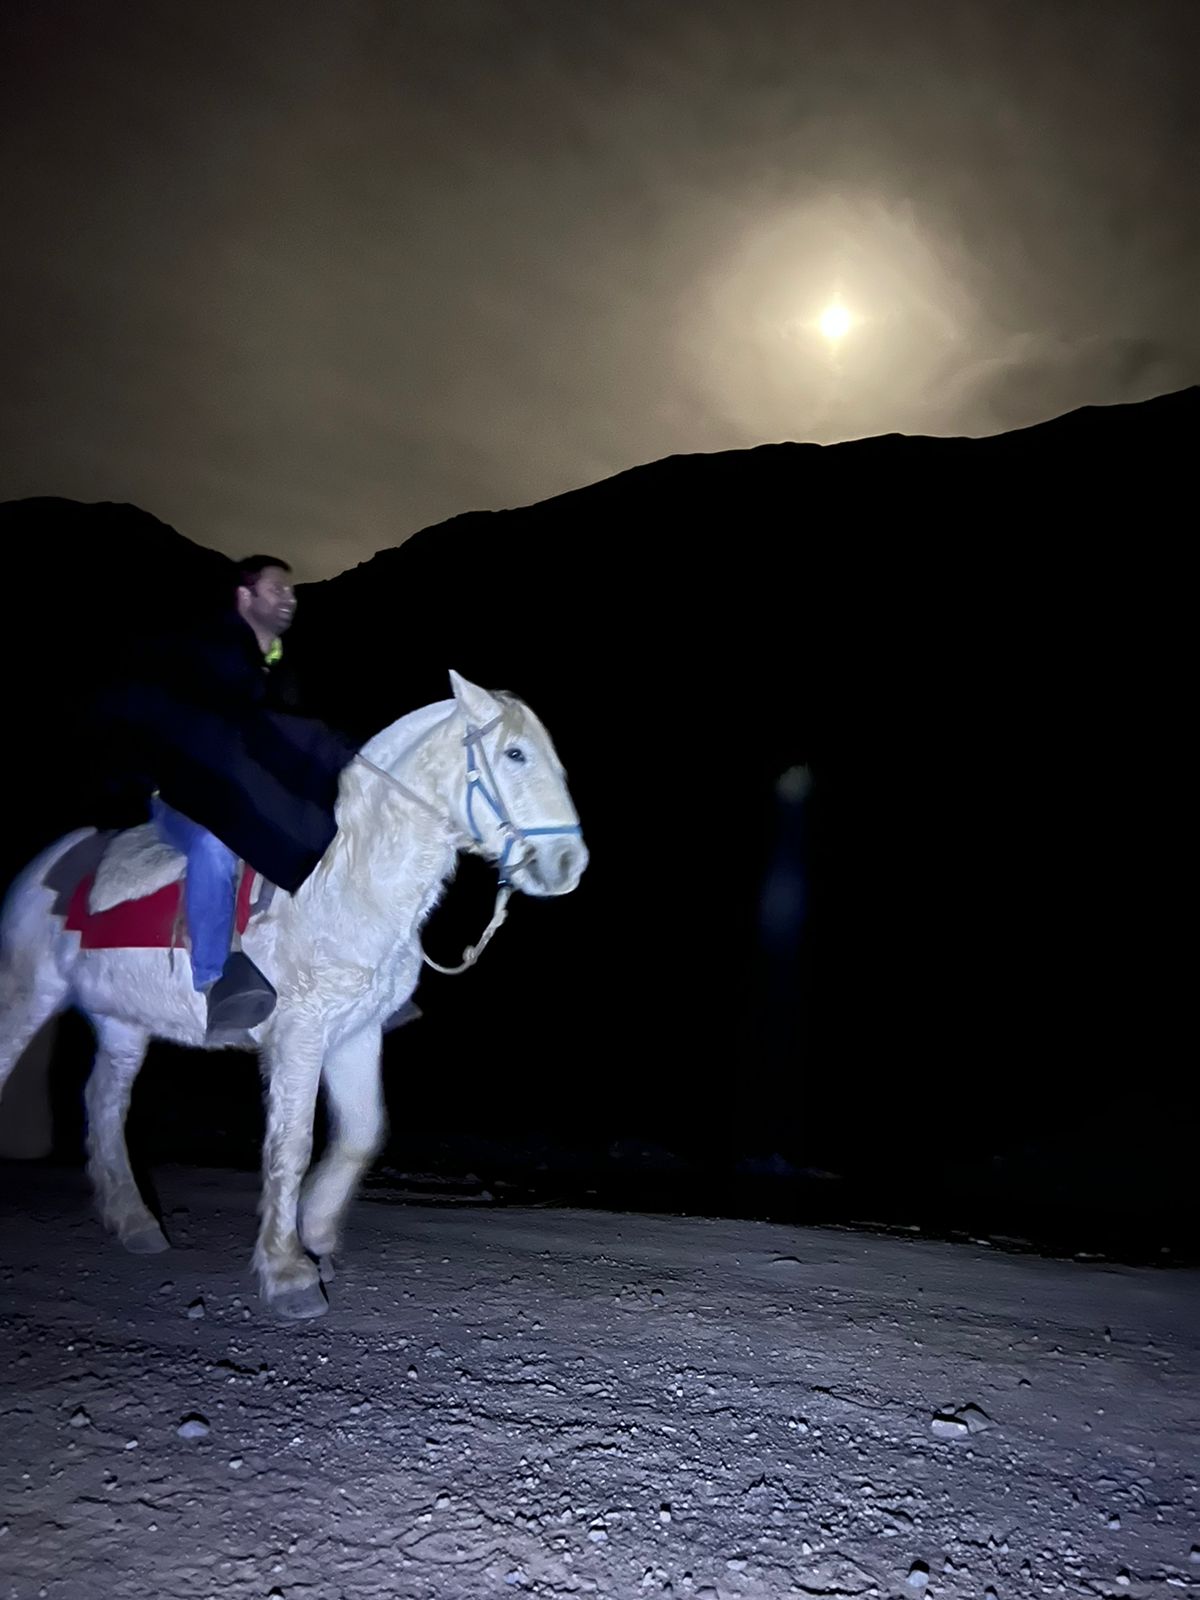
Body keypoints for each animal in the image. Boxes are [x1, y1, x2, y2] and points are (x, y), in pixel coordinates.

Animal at [0, 668, 588, 1318]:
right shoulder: (300, 1035)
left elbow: (360, 1134)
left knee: (105, 1102)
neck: (348, 884)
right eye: (515, 754)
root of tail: (46, 865)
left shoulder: (356, 1034)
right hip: (27, 995)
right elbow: (292, 1145)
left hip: (122, 1024)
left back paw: (133, 1222)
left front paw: (318, 1233)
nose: (570, 863)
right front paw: (288, 1272)